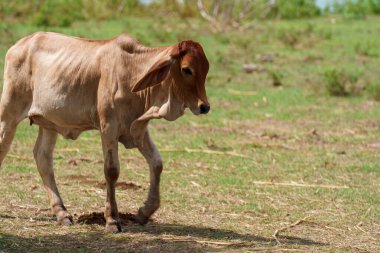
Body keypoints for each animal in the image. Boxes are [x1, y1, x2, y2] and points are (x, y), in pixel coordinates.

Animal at [0, 32, 211, 232]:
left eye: (206, 68)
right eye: (186, 69)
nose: (205, 106)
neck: (132, 71)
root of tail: (19, 44)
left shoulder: (138, 129)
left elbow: (157, 163)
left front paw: (144, 212)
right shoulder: (108, 127)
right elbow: (111, 170)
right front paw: (112, 220)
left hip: (49, 122)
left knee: (43, 157)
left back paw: (62, 213)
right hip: (9, 113)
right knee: (5, 147)